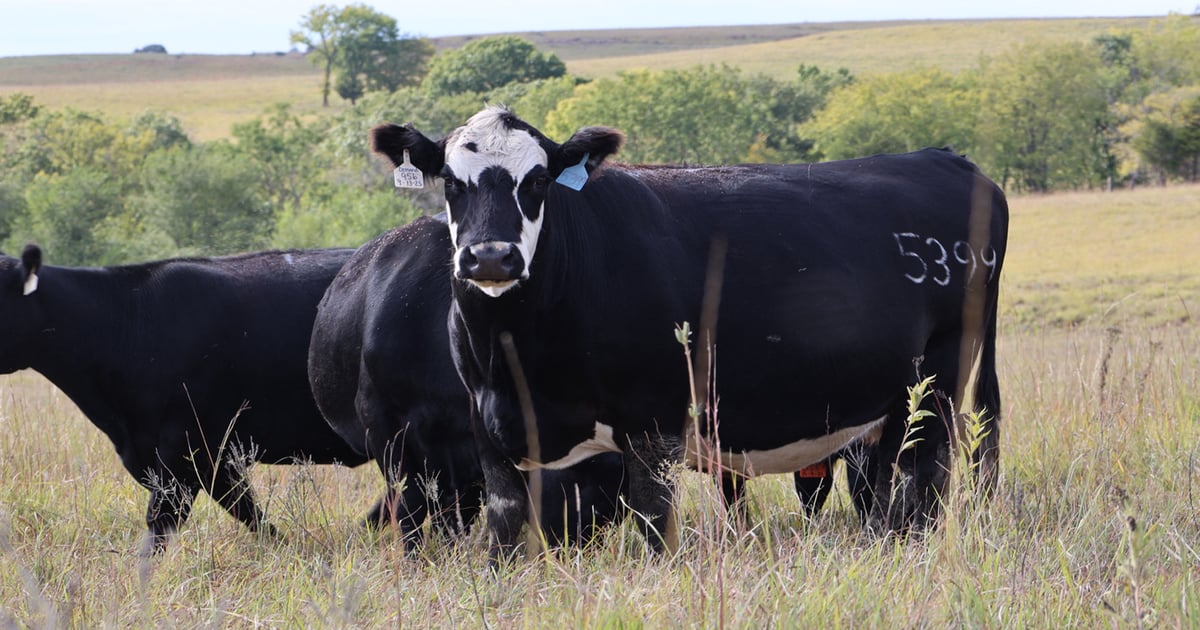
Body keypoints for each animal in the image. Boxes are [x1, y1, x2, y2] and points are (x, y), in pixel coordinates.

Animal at [369, 106, 1007, 563]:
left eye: (540, 180)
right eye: (452, 182)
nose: (491, 257)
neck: (518, 353)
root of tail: (946, 159)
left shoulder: (652, 422)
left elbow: (653, 522)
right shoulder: (490, 424)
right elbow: (504, 529)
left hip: (935, 384)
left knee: (919, 479)